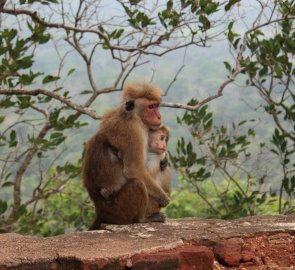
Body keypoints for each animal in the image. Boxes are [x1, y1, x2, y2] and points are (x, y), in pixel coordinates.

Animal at [83, 81, 171, 229]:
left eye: (156, 105)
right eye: (151, 107)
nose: (159, 116)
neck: (133, 115)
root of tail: (100, 210)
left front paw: (165, 158)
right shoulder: (134, 130)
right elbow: (134, 168)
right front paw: (163, 197)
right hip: (117, 210)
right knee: (137, 184)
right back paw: (142, 219)